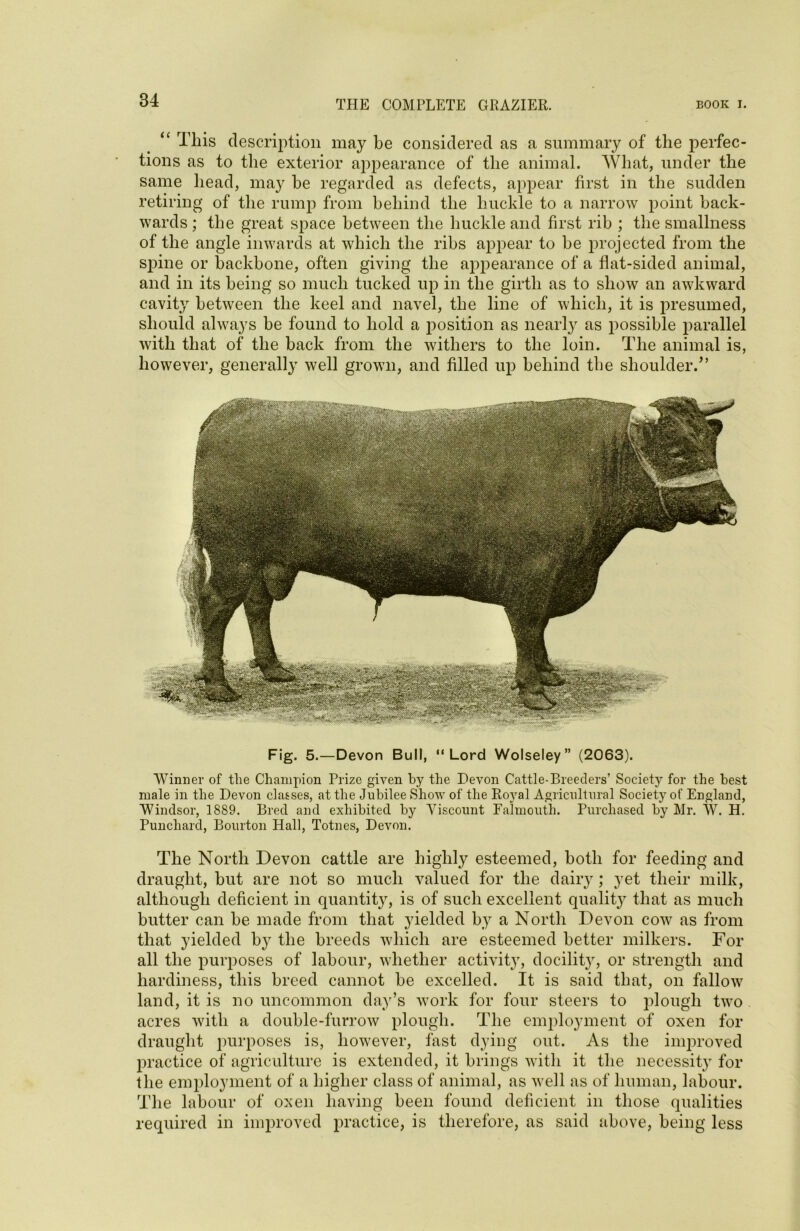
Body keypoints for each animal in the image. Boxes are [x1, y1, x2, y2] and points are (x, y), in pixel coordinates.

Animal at [178, 396, 736, 709]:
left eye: (710, 444)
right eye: (677, 451)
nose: (727, 508)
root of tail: (238, 406)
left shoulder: (555, 574)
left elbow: (541, 630)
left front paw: (549, 672)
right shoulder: (533, 574)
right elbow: (527, 627)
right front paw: (534, 692)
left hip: (264, 559)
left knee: (256, 607)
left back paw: (273, 669)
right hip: (233, 555)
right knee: (216, 608)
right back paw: (218, 686)